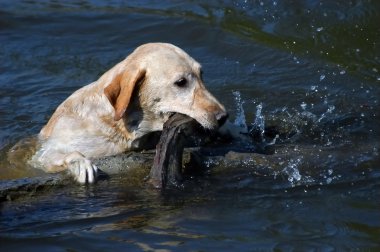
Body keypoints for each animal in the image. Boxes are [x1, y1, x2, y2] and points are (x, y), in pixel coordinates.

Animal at [29, 43, 227, 184]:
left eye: (201, 75)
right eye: (181, 82)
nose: (223, 117)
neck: (117, 127)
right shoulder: (43, 155)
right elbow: (60, 155)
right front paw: (82, 164)